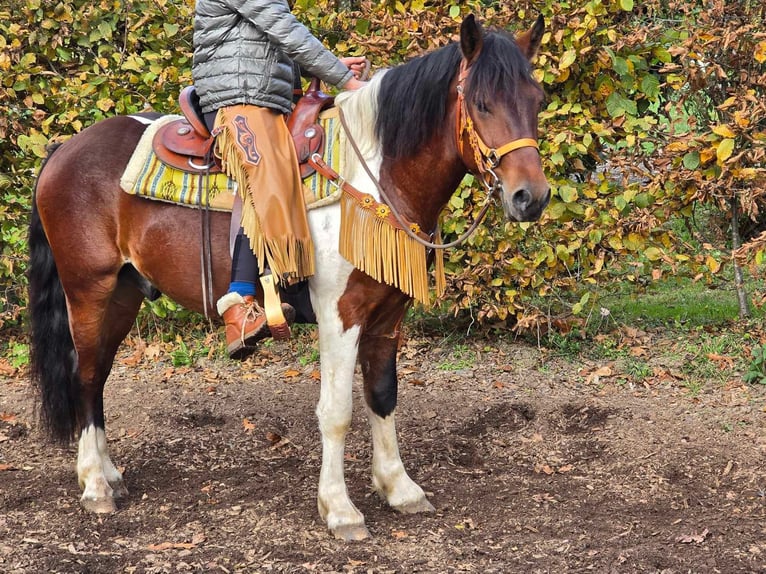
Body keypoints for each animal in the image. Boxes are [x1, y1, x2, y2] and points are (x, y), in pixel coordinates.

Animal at [27, 14, 548, 544]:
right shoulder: (341, 314)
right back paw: (95, 486)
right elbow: (336, 412)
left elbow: (383, 395)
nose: (531, 197)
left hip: (124, 293)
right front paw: (340, 509)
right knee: (85, 374)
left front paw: (400, 489)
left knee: (99, 377)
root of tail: (63, 150)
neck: (372, 175)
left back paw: (109, 474)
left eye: (538, 100)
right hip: (88, 290)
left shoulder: (387, 315)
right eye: (482, 103)